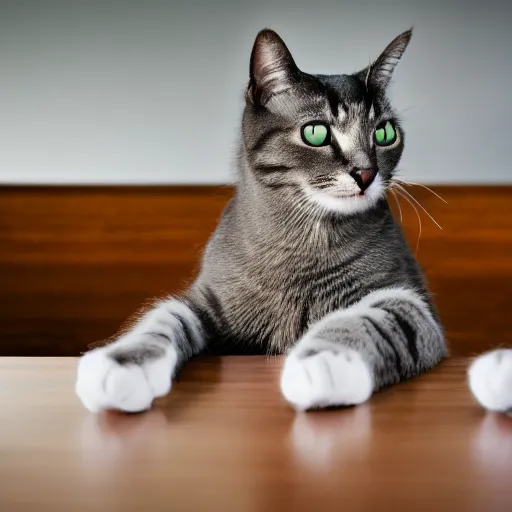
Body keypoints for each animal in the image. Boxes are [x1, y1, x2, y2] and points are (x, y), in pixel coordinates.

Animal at [75, 27, 452, 412]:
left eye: (384, 132)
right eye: (316, 133)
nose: (366, 173)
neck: (298, 246)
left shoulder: (409, 299)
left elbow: (374, 320)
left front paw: (323, 361)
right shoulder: (208, 300)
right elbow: (162, 319)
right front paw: (121, 363)